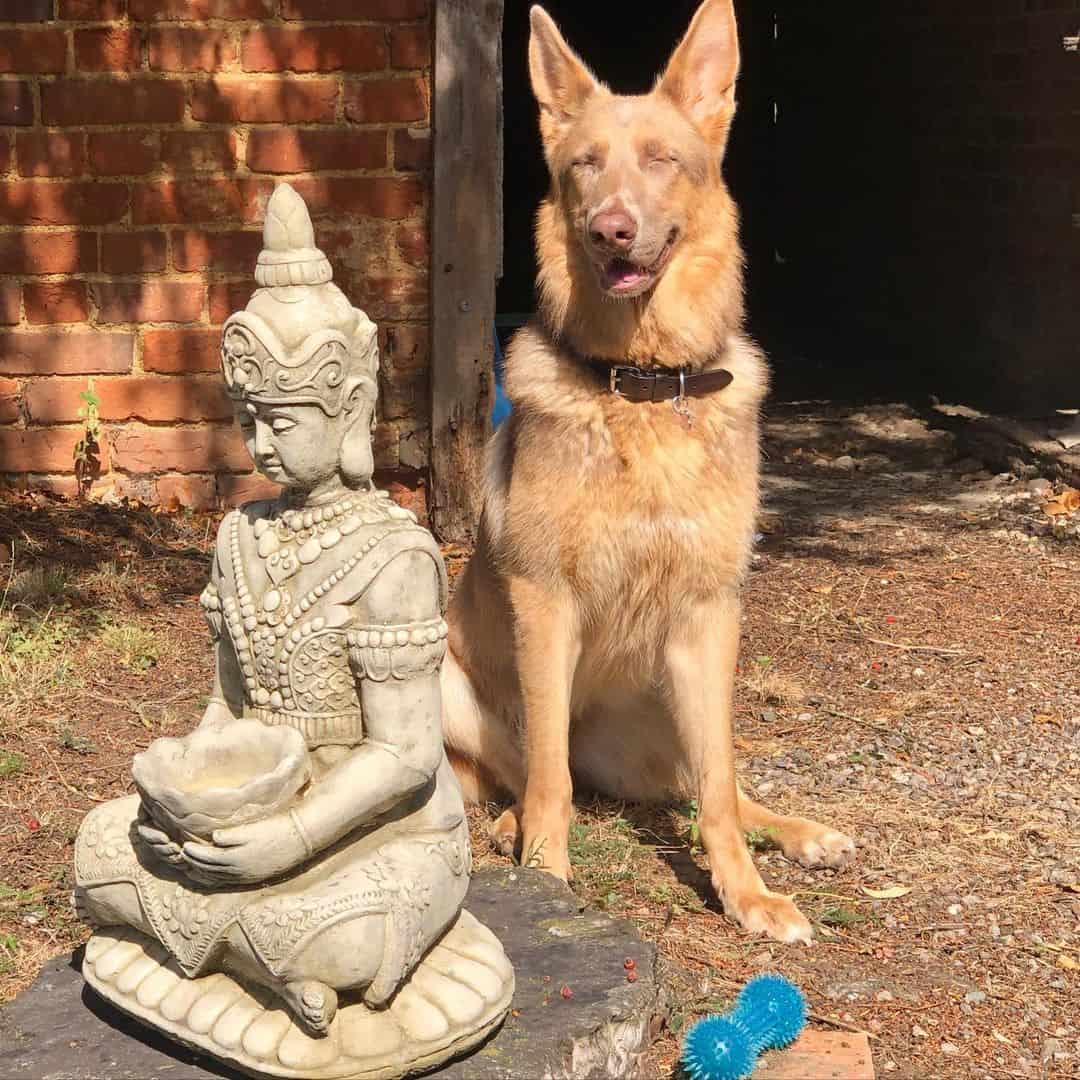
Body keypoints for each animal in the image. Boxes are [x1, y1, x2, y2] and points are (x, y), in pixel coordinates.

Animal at [438, 0, 851, 941]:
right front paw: (546, 877)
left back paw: (802, 832)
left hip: (668, 710)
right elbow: (549, 779)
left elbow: (722, 791)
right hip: (448, 687)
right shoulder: (544, 603)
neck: (645, 384)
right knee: (531, 773)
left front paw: (746, 894)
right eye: (584, 166)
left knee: (709, 783)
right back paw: (513, 823)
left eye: (663, 160)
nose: (609, 230)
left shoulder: (710, 615)